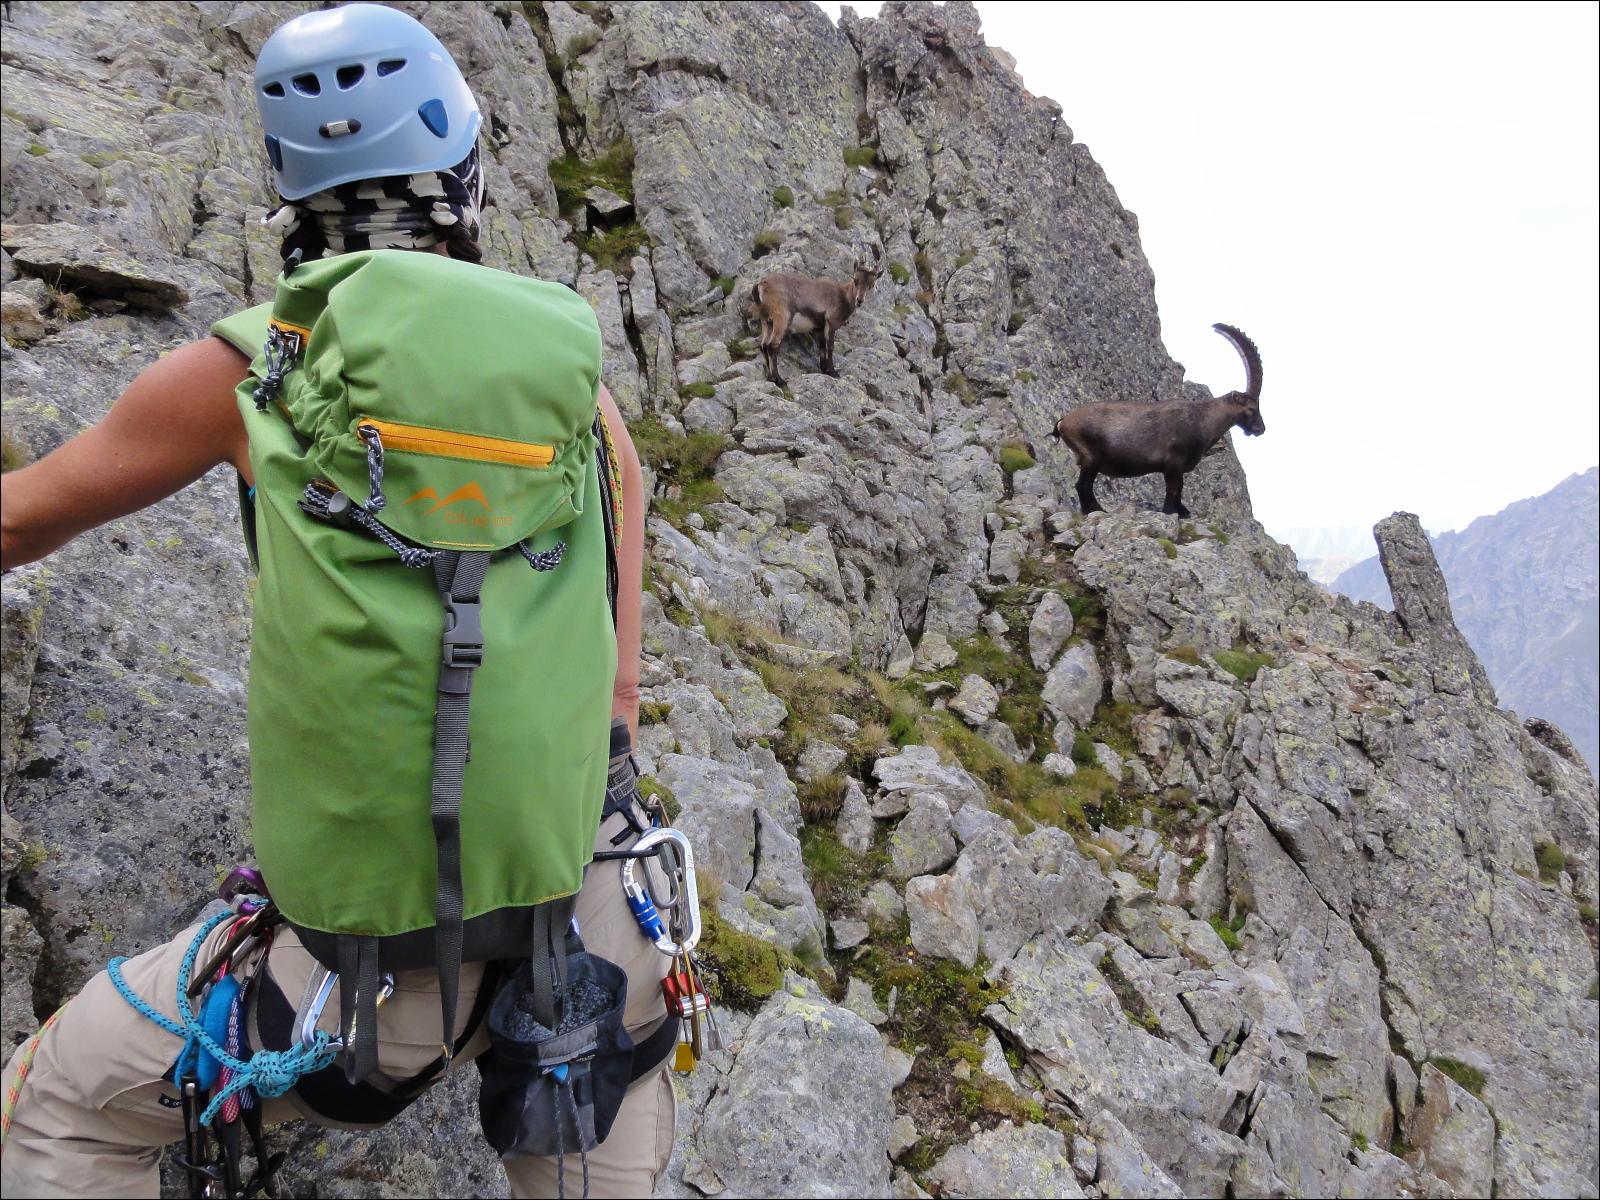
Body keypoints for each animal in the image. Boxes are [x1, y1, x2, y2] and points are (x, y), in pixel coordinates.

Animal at [748, 254, 880, 385]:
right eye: (855, 280)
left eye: (871, 284)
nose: (860, 300)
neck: (842, 296)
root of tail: (761, 285)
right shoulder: (831, 323)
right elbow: (830, 347)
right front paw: (834, 373)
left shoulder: (819, 328)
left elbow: (822, 347)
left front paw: (825, 370)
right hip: (782, 318)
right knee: (772, 345)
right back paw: (779, 380)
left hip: (767, 321)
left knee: (763, 345)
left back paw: (770, 378)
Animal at [1054, 323, 1264, 518]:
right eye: (1251, 408)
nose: (1260, 429)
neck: (1203, 417)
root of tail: (1063, 422)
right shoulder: (1174, 462)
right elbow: (1173, 488)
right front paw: (1169, 512)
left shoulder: (1178, 467)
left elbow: (1180, 488)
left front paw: (1183, 511)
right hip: (1091, 457)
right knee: (1082, 485)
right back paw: (1096, 510)